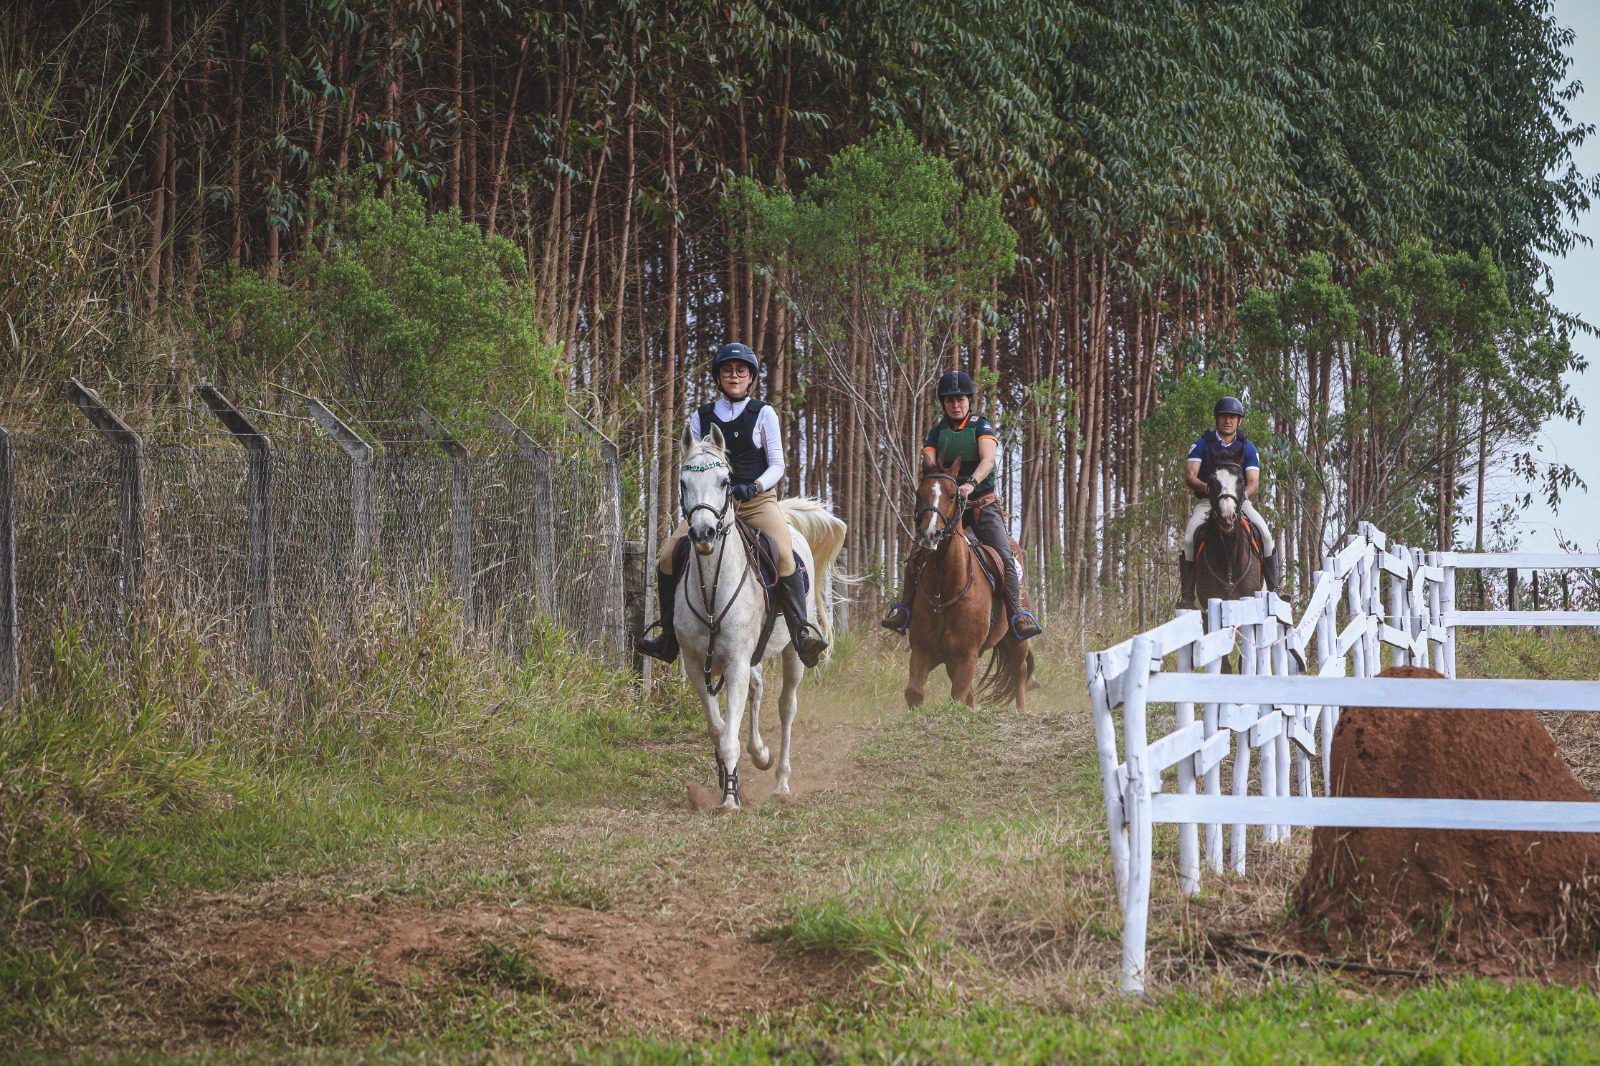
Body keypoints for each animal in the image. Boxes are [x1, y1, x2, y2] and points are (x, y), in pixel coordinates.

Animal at [675, 419, 851, 809]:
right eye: (683, 483)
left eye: (724, 482)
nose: (704, 533)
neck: (712, 590)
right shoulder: (697, 664)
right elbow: (719, 728)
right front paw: (730, 778)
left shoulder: (737, 662)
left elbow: (729, 735)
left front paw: (729, 799)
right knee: (757, 690)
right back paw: (760, 754)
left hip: (792, 653)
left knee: (786, 706)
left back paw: (781, 781)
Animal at [908, 457, 1030, 704]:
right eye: (919, 493)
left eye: (952, 495)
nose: (929, 534)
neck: (944, 589)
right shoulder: (922, 650)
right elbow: (914, 692)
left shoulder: (966, 656)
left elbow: (958, 696)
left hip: (1017, 639)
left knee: (1019, 673)